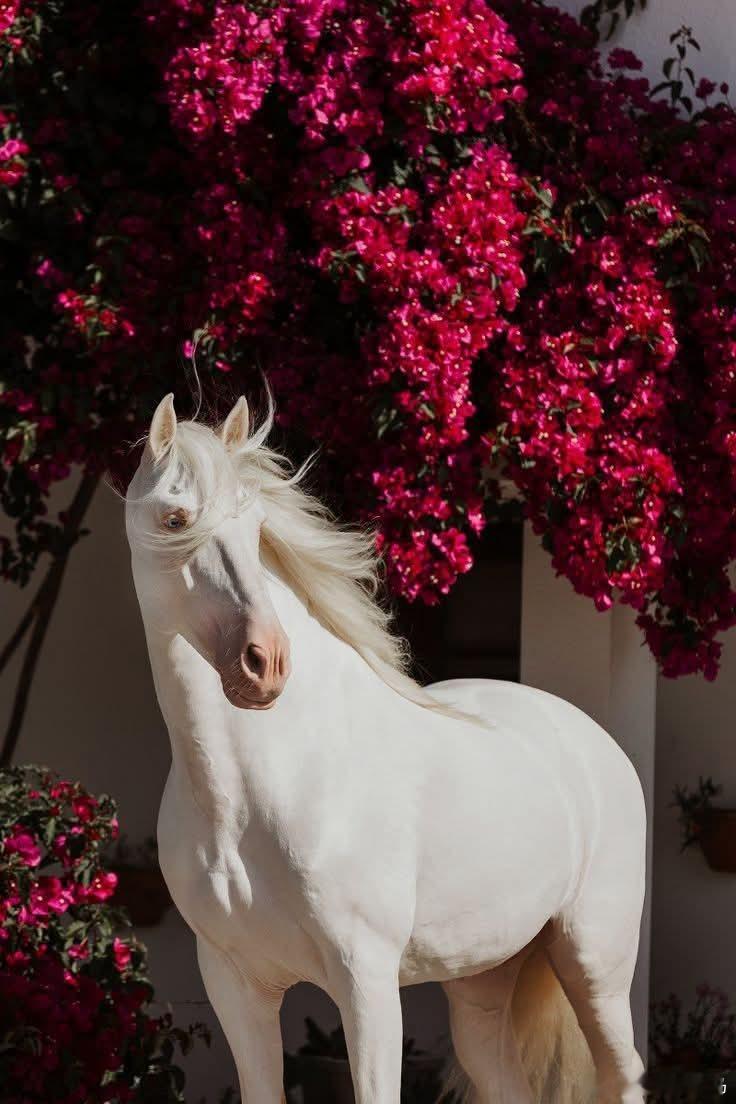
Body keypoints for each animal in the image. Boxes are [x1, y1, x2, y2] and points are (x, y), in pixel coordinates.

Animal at [125, 392, 647, 1104]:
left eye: (256, 526)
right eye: (175, 519)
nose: (265, 664)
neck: (259, 792)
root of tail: (593, 739)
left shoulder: (364, 981)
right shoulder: (236, 986)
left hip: (596, 966)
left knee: (625, 1075)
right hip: (481, 984)